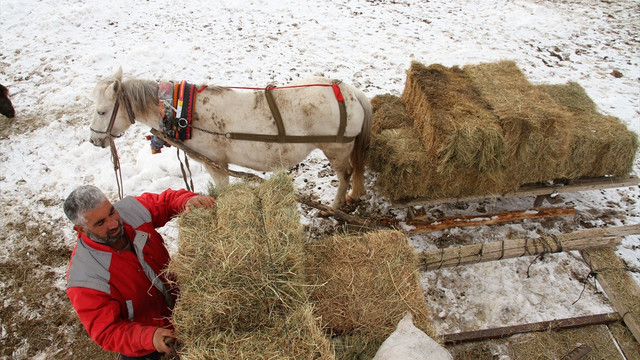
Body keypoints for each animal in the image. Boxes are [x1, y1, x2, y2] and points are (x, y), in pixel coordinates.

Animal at [87, 68, 372, 208]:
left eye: (102, 111)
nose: (94, 140)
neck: (181, 112)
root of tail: (349, 91)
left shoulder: (216, 165)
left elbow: (222, 191)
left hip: (336, 149)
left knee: (345, 176)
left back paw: (336, 205)